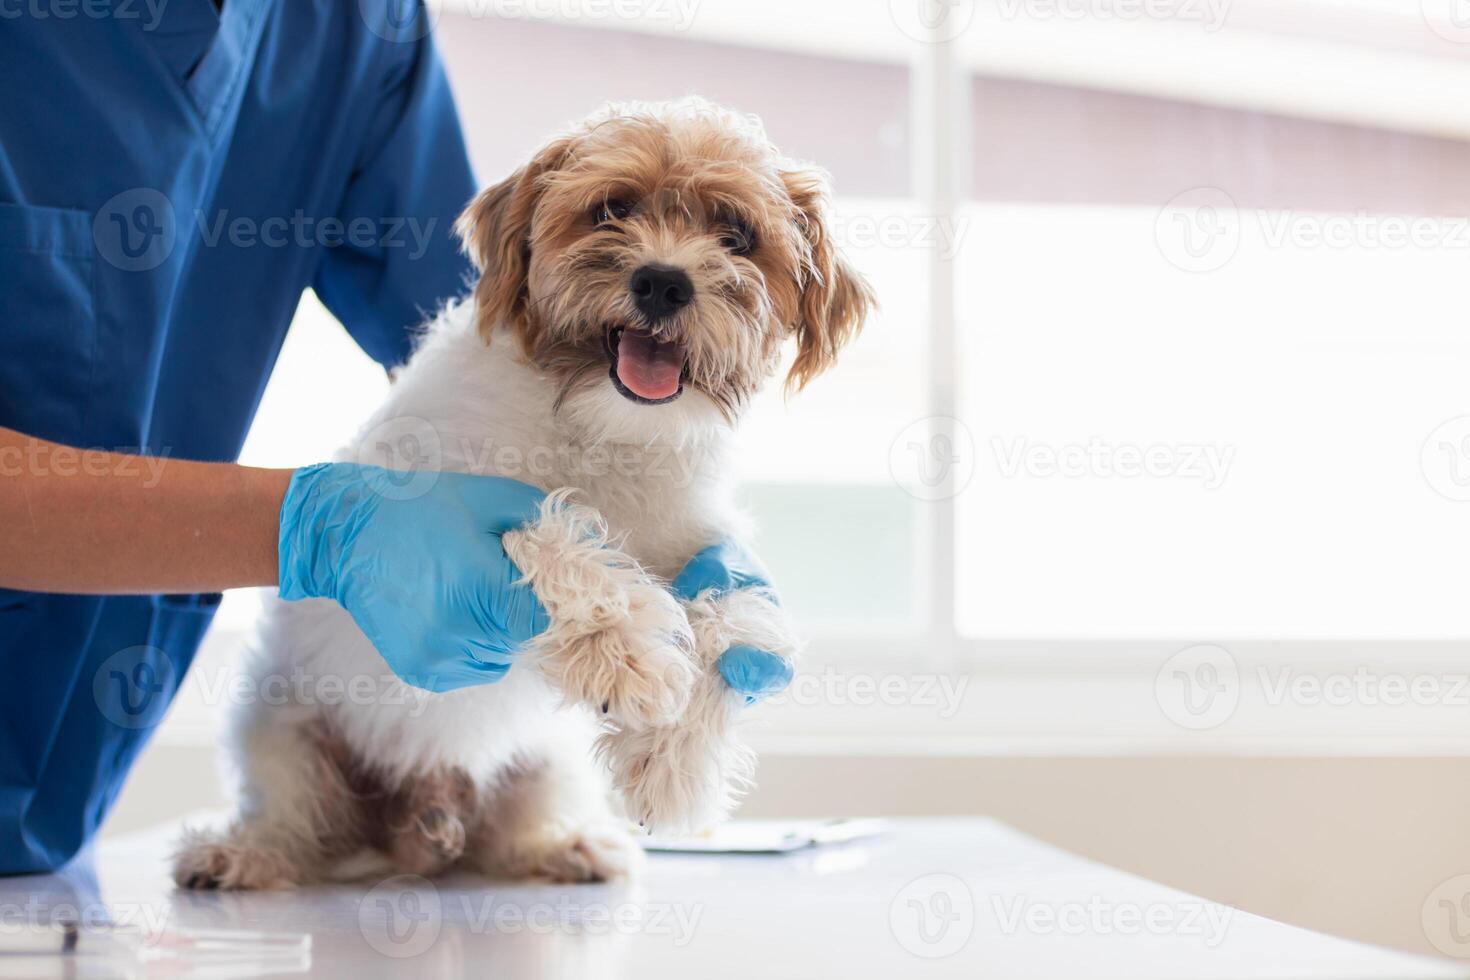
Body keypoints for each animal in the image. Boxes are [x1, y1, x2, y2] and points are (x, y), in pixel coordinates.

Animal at [173, 99, 870, 887]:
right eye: (612, 208)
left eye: (737, 235)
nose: (663, 282)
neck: (603, 431)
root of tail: (423, 814)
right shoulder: (436, 510)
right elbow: (553, 538)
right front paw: (628, 657)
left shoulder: (697, 544)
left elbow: (734, 616)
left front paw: (672, 761)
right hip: (277, 728)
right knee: (297, 823)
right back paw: (240, 854)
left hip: (543, 765)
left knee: (508, 833)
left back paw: (568, 845)